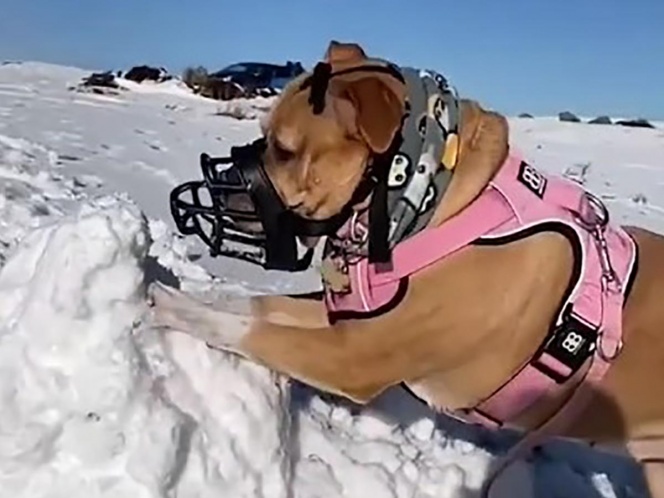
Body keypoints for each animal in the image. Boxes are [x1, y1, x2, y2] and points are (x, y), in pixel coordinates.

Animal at [149, 40, 664, 496]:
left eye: (286, 150)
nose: (211, 192)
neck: (432, 200)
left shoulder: (351, 357)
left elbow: (253, 332)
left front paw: (170, 305)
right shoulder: (348, 320)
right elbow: (256, 305)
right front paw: (199, 292)